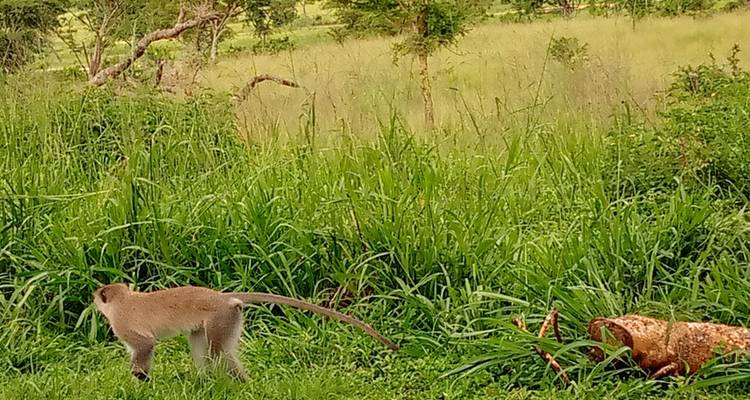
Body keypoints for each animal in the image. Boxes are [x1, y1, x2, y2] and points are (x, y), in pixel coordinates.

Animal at [92, 283, 399, 382]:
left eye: (98, 297)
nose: (92, 300)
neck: (123, 300)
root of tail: (223, 298)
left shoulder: (122, 324)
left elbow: (144, 345)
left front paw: (141, 380)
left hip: (221, 318)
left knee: (219, 353)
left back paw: (240, 383)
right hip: (226, 319)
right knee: (201, 344)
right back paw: (206, 382)